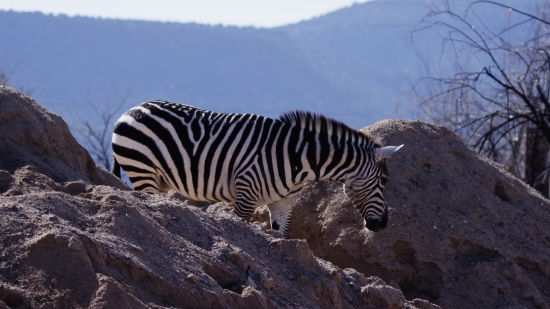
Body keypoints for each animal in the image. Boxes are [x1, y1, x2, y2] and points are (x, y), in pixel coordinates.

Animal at [113, 100, 406, 237]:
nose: (382, 225)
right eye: (384, 182)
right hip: (142, 172)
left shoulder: (283, 204)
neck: (299, 159)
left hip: (159, 180)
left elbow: (282, 238)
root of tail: (133, 108)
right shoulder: (246, 195)